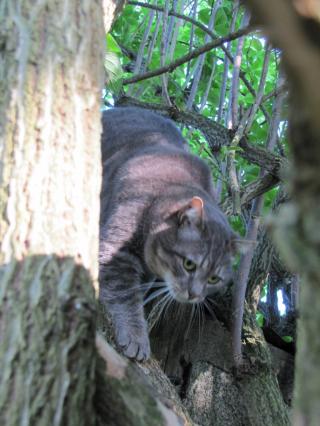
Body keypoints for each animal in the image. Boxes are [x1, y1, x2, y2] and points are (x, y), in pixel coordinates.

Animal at [100, 108, 238, 362]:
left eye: (214, 279)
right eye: (189, 264)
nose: (194, 295)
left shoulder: (146, 273)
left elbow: (138, 290)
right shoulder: (117, 250)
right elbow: (125, 293)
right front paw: (135, 337)